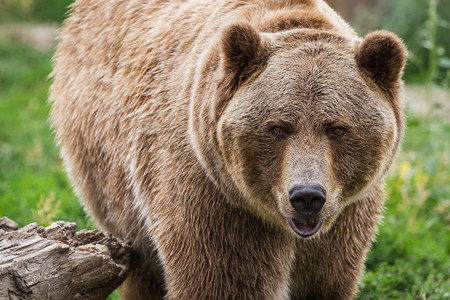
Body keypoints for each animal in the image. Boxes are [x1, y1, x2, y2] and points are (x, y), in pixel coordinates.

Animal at [50, 1, 408, 298]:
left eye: (336, 128)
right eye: (278, 127)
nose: (307, 196)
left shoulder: (346, 221)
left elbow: (327, 280)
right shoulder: (217, 201)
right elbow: (223, 281)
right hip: (108, 176)